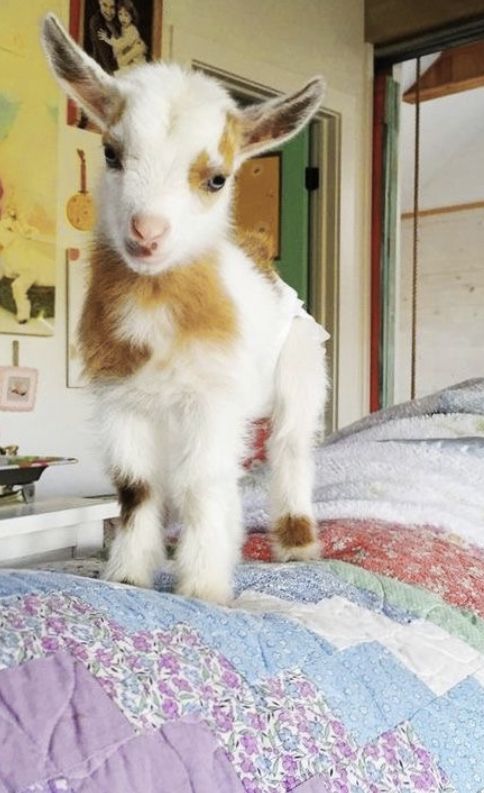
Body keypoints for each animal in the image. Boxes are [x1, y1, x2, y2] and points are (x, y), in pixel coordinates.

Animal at [42, 13, 328, 600]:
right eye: (111, 153)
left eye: (217, 179)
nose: (147, 233)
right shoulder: (121, 398)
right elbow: (136, 487)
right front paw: (129, 574)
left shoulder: (212, 397)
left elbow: (202, 484)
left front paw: (202, 588)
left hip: (301, 365)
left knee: (290, 447)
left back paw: (296, 545)